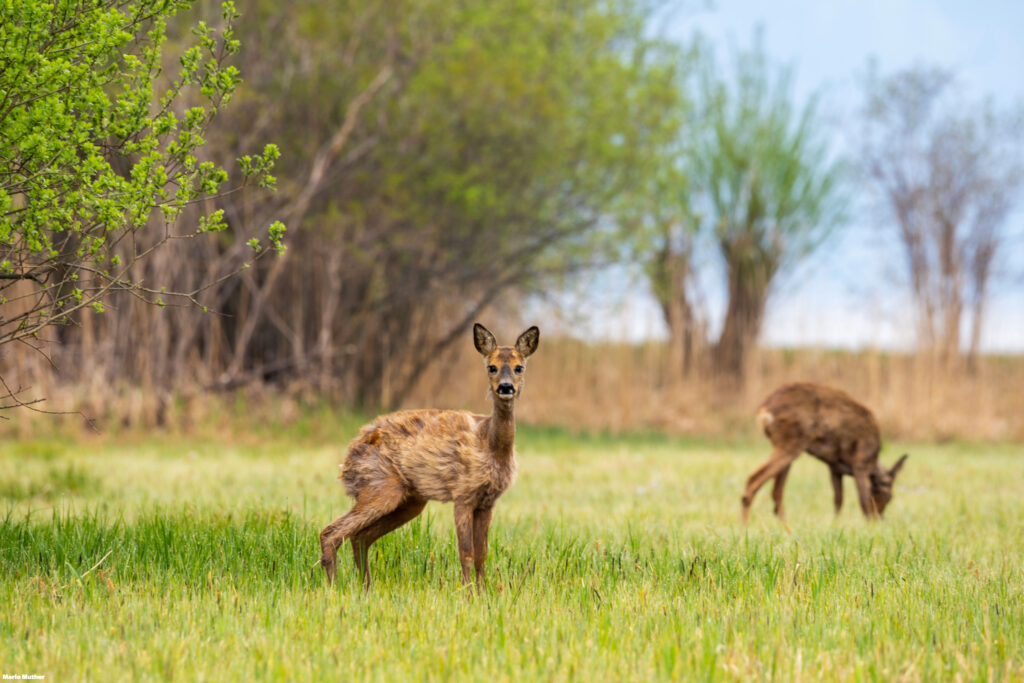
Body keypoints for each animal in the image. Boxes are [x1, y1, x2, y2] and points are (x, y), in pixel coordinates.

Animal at [317, 325, 544, 589]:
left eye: (519, 367)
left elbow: (482, 555)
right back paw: (334, 587)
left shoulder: (488, 501)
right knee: (332, 532)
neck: (490, 444)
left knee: (360, 536)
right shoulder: (463, 493)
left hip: (410, 501)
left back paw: (366, 588)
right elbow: (466, 553)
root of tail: (348, 457)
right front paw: (467, 593)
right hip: (379, 486)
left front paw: (483, 592)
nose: (506, 387)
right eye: (491, 367)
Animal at [741, 382, 909, 520]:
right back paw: (745, 525)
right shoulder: (860, 462)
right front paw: (868, 525)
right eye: (889, 497)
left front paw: (836, 524)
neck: (873, 459)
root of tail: (764, 409)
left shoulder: (834, 466)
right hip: (791, 442)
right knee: (754, 480)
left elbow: (838, 500)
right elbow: (863, 499)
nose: (879, 518)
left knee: (776, 493)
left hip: (786, 446)